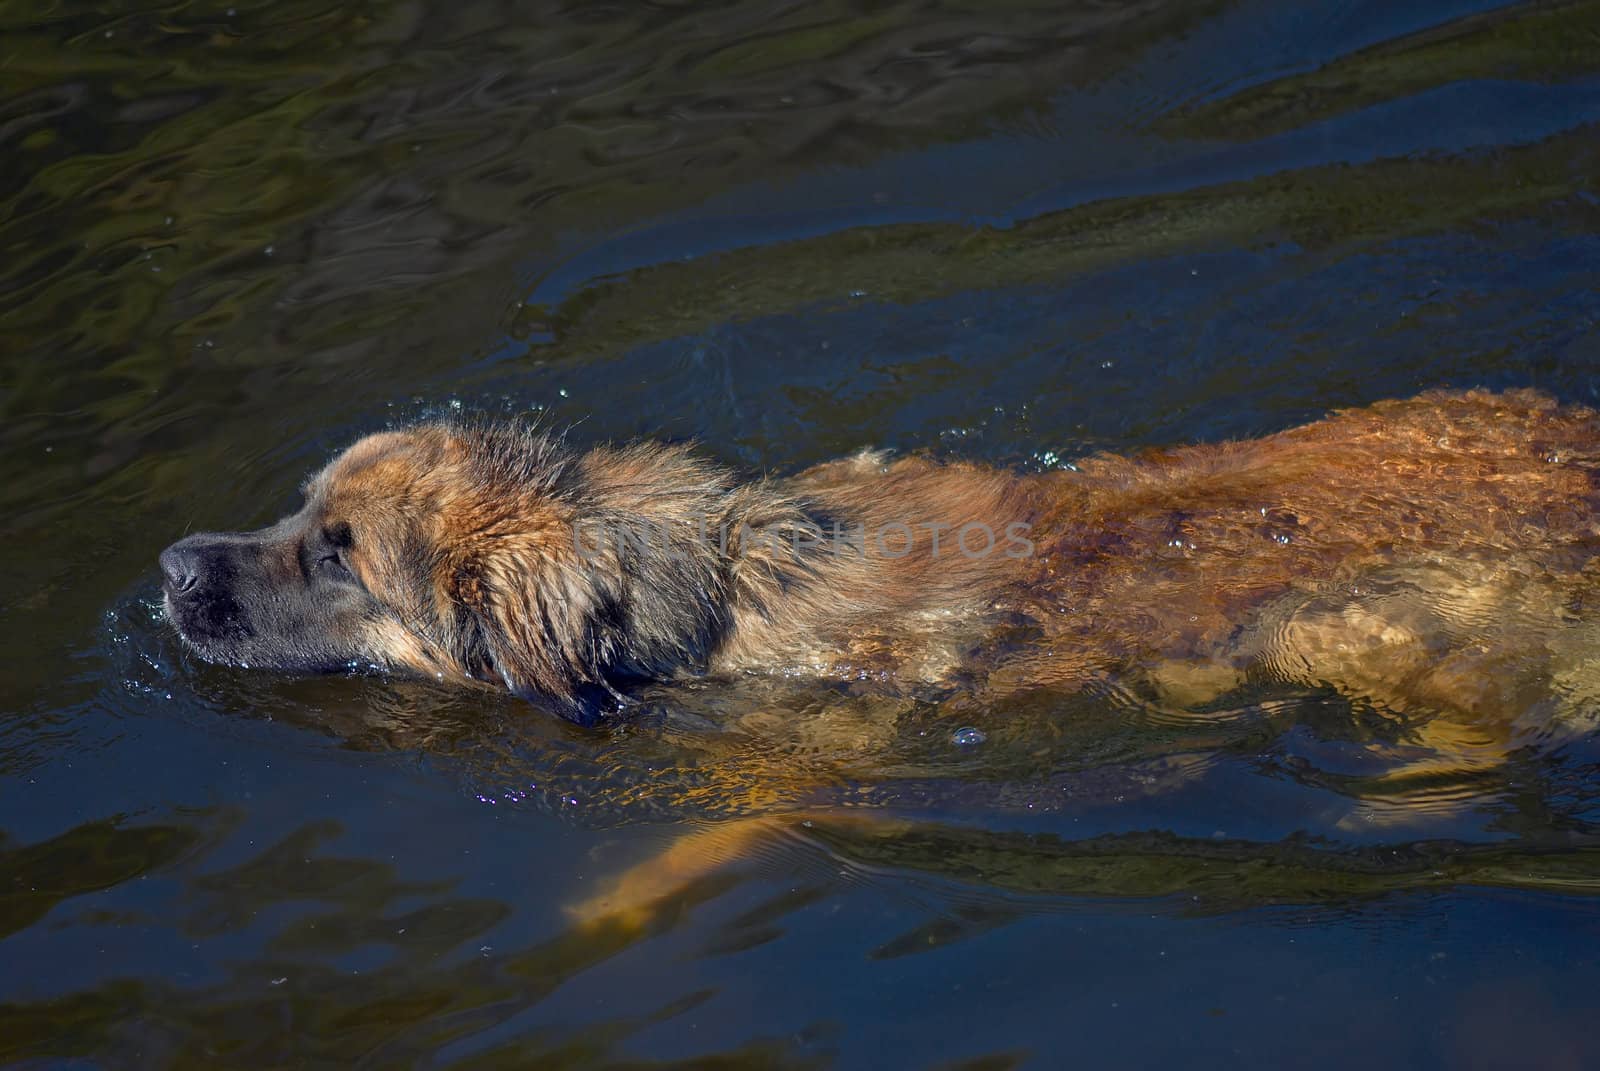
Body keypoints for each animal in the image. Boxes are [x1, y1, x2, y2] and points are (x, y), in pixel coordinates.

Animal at [159, 390, 1600, 922]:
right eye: (301, 515)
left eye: (339, 556)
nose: (171, 566)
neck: (699, 601)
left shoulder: (818, 764)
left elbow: (722, 832)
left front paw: (612, 903)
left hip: (1357, 628)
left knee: (1486, 727)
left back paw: (1394, 802)